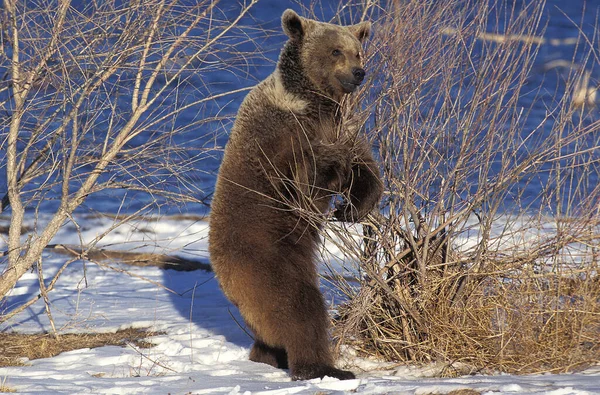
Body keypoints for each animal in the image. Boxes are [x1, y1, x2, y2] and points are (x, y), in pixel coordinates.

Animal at [209, 8, 382, 380]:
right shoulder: (283, 137)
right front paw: (335, 180)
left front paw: (351, 209)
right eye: (335, 51)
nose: (358, 73)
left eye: (357, 52)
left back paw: (265, 355)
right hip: (266, 256)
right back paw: (322, 366)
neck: (314, 102)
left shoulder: (345, 127)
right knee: (299, 306)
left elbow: (366, 168)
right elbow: (305, 181)